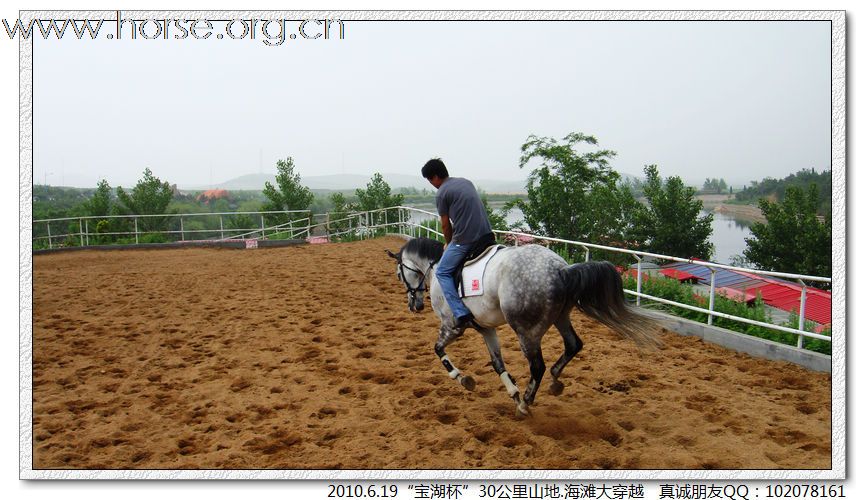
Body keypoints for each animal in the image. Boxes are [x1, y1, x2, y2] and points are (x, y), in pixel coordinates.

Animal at [388, 236, 660, 416]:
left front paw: (463, 379)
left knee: (538, 366)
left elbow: (438, 350)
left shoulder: (453, 327)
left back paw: (526, 402)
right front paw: (512, 391)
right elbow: (497, 364)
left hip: (526, 332)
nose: (414, 305)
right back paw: (554, 381)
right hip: (561, 317)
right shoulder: (486, 329)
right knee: (573, 345)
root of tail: (560, 269)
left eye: (400, 274)